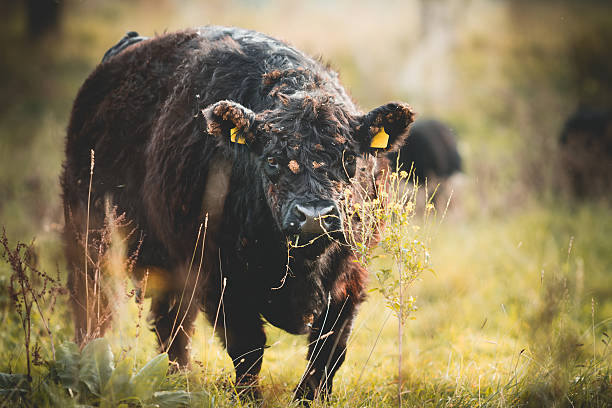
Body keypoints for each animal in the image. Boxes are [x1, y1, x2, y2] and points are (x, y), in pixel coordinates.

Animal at [61, 26, 416, 402]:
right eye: (272, 159)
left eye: (349, 158)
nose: (314, 215)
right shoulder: (220, 279)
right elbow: (248, 348)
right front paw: (250, 398)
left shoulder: (349, 277)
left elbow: (329, 348)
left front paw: (309, 398)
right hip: (88, 228)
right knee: (95, 301)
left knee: (170, 320)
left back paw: (179, 378)